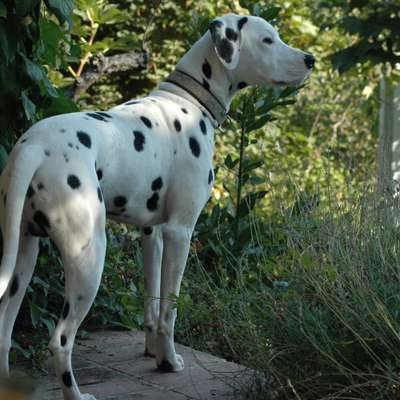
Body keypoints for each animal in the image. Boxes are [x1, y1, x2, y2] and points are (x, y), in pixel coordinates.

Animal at [0, 12, 312, 400]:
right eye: (268, 40)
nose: (310, 60)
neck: (189, 101)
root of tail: (34, 146)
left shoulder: (153, 234)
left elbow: (152, 302)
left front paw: (152, 351)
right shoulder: (180, 232)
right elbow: (169, 311)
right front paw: (169, 361)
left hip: (22, 257)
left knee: (3, 331)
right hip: (89, 258)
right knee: (60, 340)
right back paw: (76, 394)